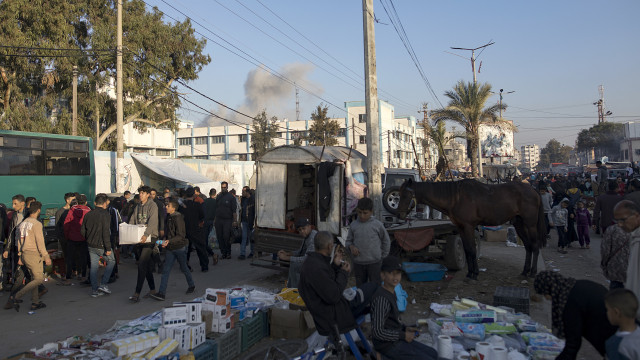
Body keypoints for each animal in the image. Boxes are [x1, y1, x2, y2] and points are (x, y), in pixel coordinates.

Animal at [398, 179, 544, 280]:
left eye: (406, 195)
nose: (399, 214)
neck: (456, 198)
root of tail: (533, 190)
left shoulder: (468, 226)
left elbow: (472, 250)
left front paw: (475, 274)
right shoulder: (461, 228)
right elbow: (468, 249)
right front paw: (470, 273)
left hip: (530, 224)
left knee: (535, 246)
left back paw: (532, 272)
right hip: (519, 224)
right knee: (528, 246)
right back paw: (525, 271)